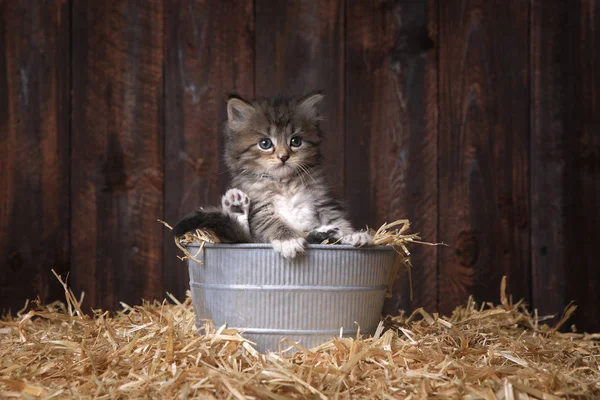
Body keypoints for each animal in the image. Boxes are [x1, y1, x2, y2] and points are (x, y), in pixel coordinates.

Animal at [171, 91, 372, 260]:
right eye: (265, 143)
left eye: (296, 141)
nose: (283, 157)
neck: (284, 183)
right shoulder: (260, 208)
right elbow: (271, 223)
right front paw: (288, 240)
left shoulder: (323, 200)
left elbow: (337, 218)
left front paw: (352, 234)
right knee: (241, 234)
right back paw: (236, 207)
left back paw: (326, 232)